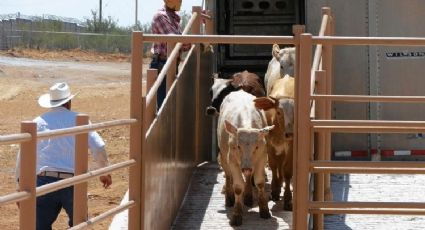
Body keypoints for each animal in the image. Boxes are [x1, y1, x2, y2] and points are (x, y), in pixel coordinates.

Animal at [217, 90, 274, 226]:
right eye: (238, 146)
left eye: (257, 147)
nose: (246, 168)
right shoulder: (232, 159)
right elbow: (238, 187)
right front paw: (237, 215)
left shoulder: (262, 157)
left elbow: (259, 182)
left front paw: (264, 209)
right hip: (224, 156)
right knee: (228, 175)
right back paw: (229, 198)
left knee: (248, 177)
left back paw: (248, 196)